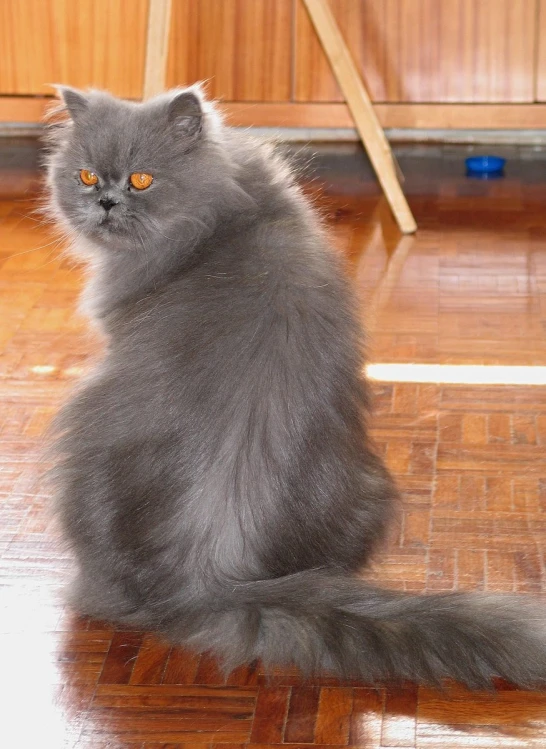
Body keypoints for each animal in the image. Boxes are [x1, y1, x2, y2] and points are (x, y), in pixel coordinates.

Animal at [47, 84, 544, 688]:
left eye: (141, 179)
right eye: (87, 176)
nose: (105, 201)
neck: (226, 213)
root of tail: (208, 571)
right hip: (371, 487)